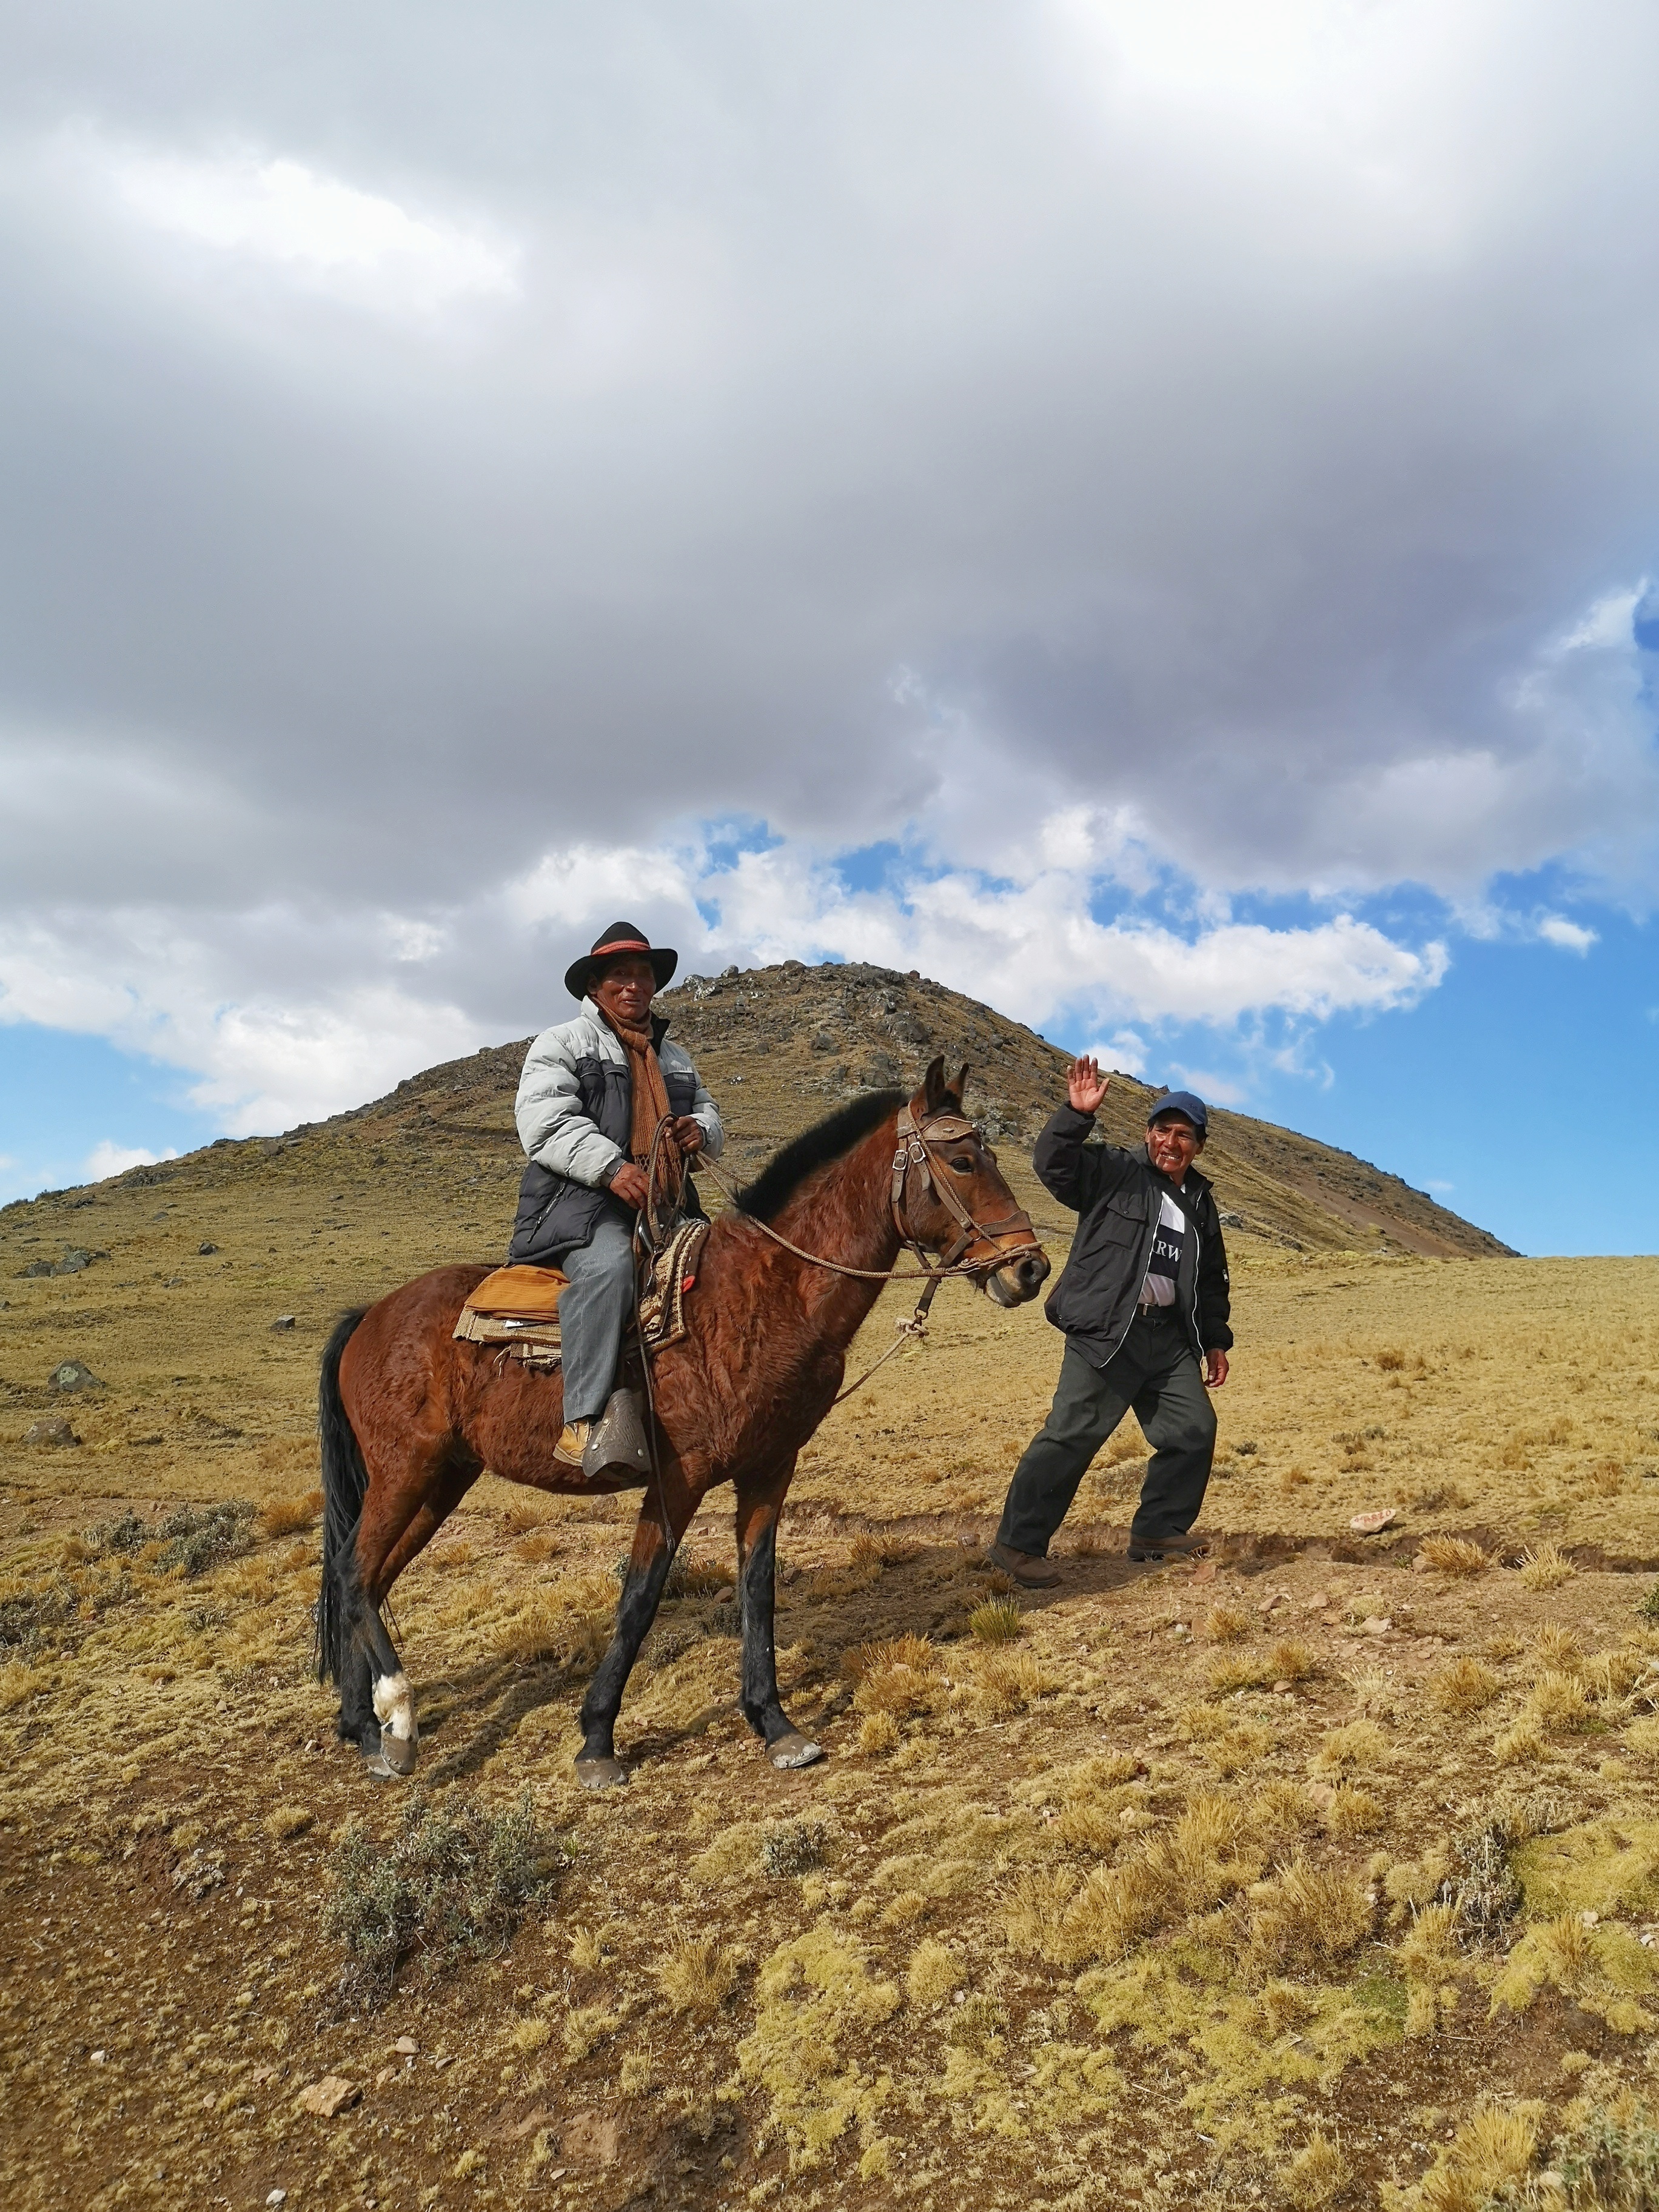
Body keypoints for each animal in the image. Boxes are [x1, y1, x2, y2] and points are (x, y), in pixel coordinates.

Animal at [314, 1048, 1053, 1778]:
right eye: (964, 1161)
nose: (1031, 1270)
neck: (764, 1294)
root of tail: (369, 1318)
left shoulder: (770, 1468)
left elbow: (758, 1585)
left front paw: (775, 1723)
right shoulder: (680, 1475)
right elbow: (641, 1594)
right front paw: (597, 1738)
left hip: (442, 1479)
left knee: (367, 1578)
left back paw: (363, 1727)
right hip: (405, 1470)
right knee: (355, 1573)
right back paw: (398, 1721)